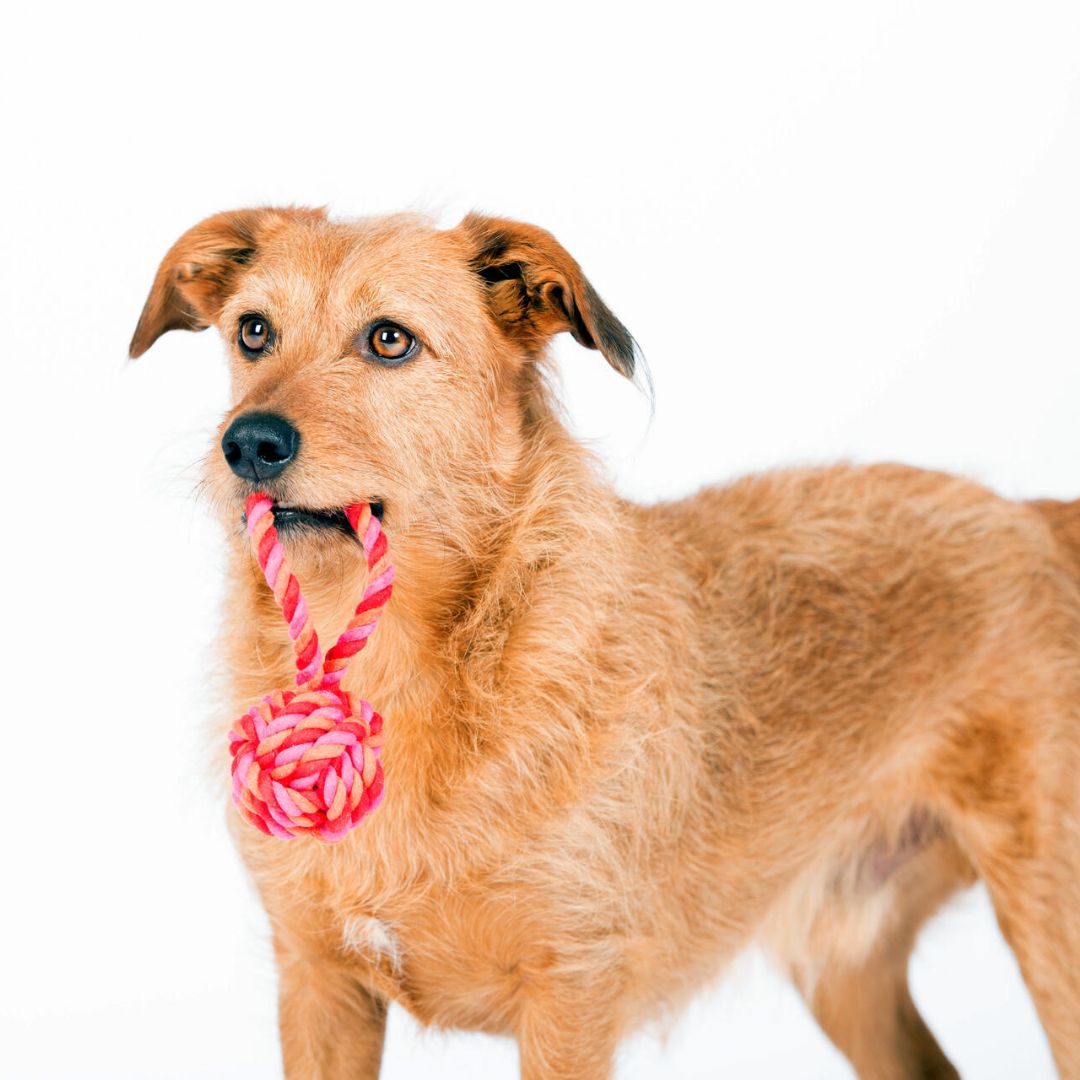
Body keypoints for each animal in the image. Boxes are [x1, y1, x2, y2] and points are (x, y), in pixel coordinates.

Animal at [132, 206, 1080, 1075]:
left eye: (390, 340)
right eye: (254, 331)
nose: (247, 443)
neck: (404, 667)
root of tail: (1032, 518)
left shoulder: (571, 996)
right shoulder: (319, 983)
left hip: (1051, 928)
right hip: (846, 961)